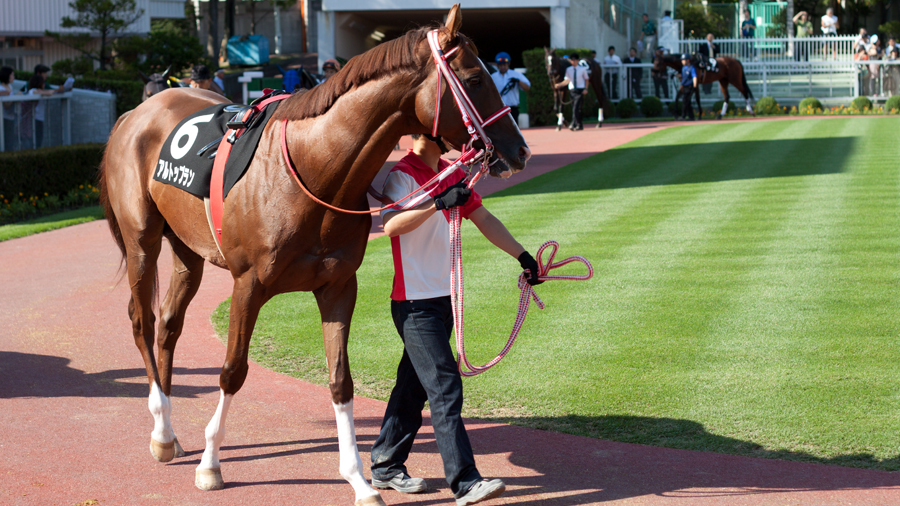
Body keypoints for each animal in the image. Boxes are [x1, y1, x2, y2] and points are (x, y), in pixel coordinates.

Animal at [98, 5, 529, 505]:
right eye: (476, 78)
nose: (520, 150)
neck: (314, 171)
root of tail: (135, 111)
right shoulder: (248, 285)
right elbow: (232, 371)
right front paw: (211, 464)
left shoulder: (339, 285)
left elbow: (341, 381)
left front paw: (359, 480)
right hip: (142, 239)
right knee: (143, 321)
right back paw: (163, 431)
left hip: (187, 248)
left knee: (168, 323)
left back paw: (169, 432)